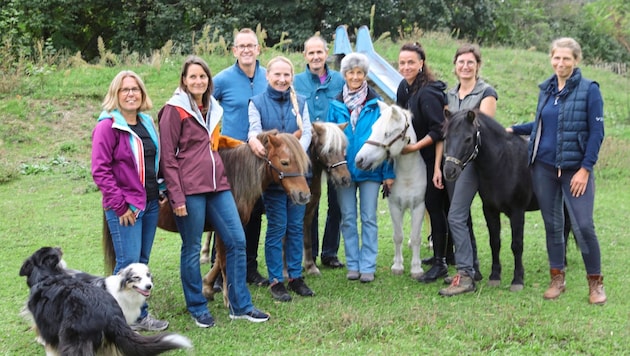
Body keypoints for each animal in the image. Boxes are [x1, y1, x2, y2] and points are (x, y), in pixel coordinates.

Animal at [356, 101, 430, 280]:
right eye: (373, 129)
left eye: (387, 133)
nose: (359, 160)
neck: (408, 173)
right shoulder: (395, 206)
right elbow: (398, 236)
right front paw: (397, 266)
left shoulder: (419, 206)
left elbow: (416, 237)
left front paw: (416, 269)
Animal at [440, 109, 540, 292]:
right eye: (445, 137)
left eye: (468, 138)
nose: (449, 171)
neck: (503, 163)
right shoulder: (490, 210)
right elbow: (494, 242)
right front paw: (494, 276)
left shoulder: (517, 212)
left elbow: (516, 245)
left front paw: (517, 280)